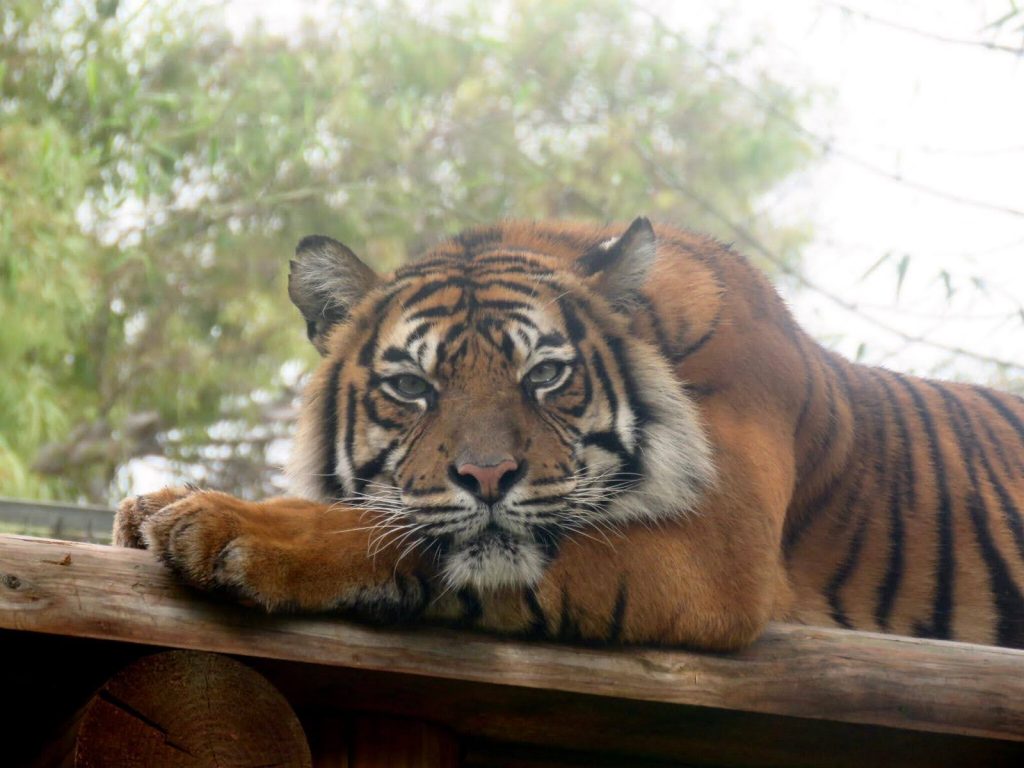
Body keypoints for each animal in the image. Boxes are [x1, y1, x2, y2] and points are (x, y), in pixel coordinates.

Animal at [112, 217, 1024, 651]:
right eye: (412, 387)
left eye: (545, 376)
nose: (486, 477)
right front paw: (156, 503)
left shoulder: (715, 552)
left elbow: (383, 528)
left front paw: (223, 524)